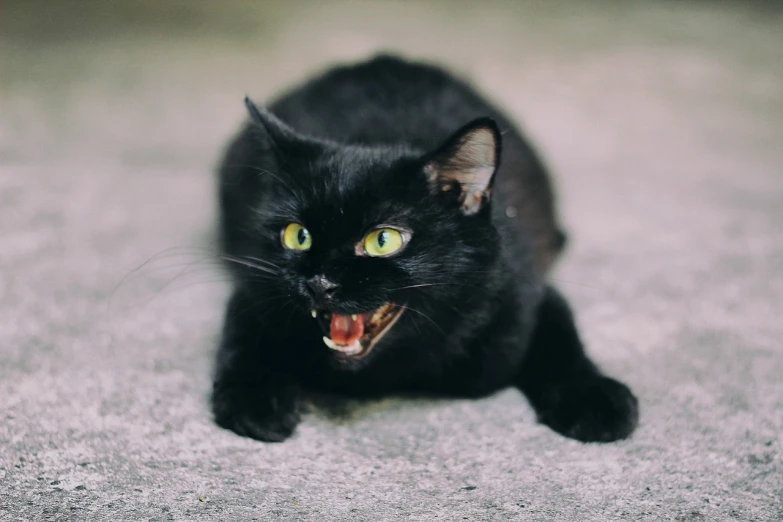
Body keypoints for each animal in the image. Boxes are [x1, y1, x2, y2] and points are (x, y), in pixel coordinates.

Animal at [213, 54, 636, 440]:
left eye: (383, 240)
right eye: (298, 235)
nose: (319, 282)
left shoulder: (526, 290)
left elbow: (561, 338)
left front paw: (593, 397)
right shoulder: (255, 282)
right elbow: (242, 336)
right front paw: (253, 398)